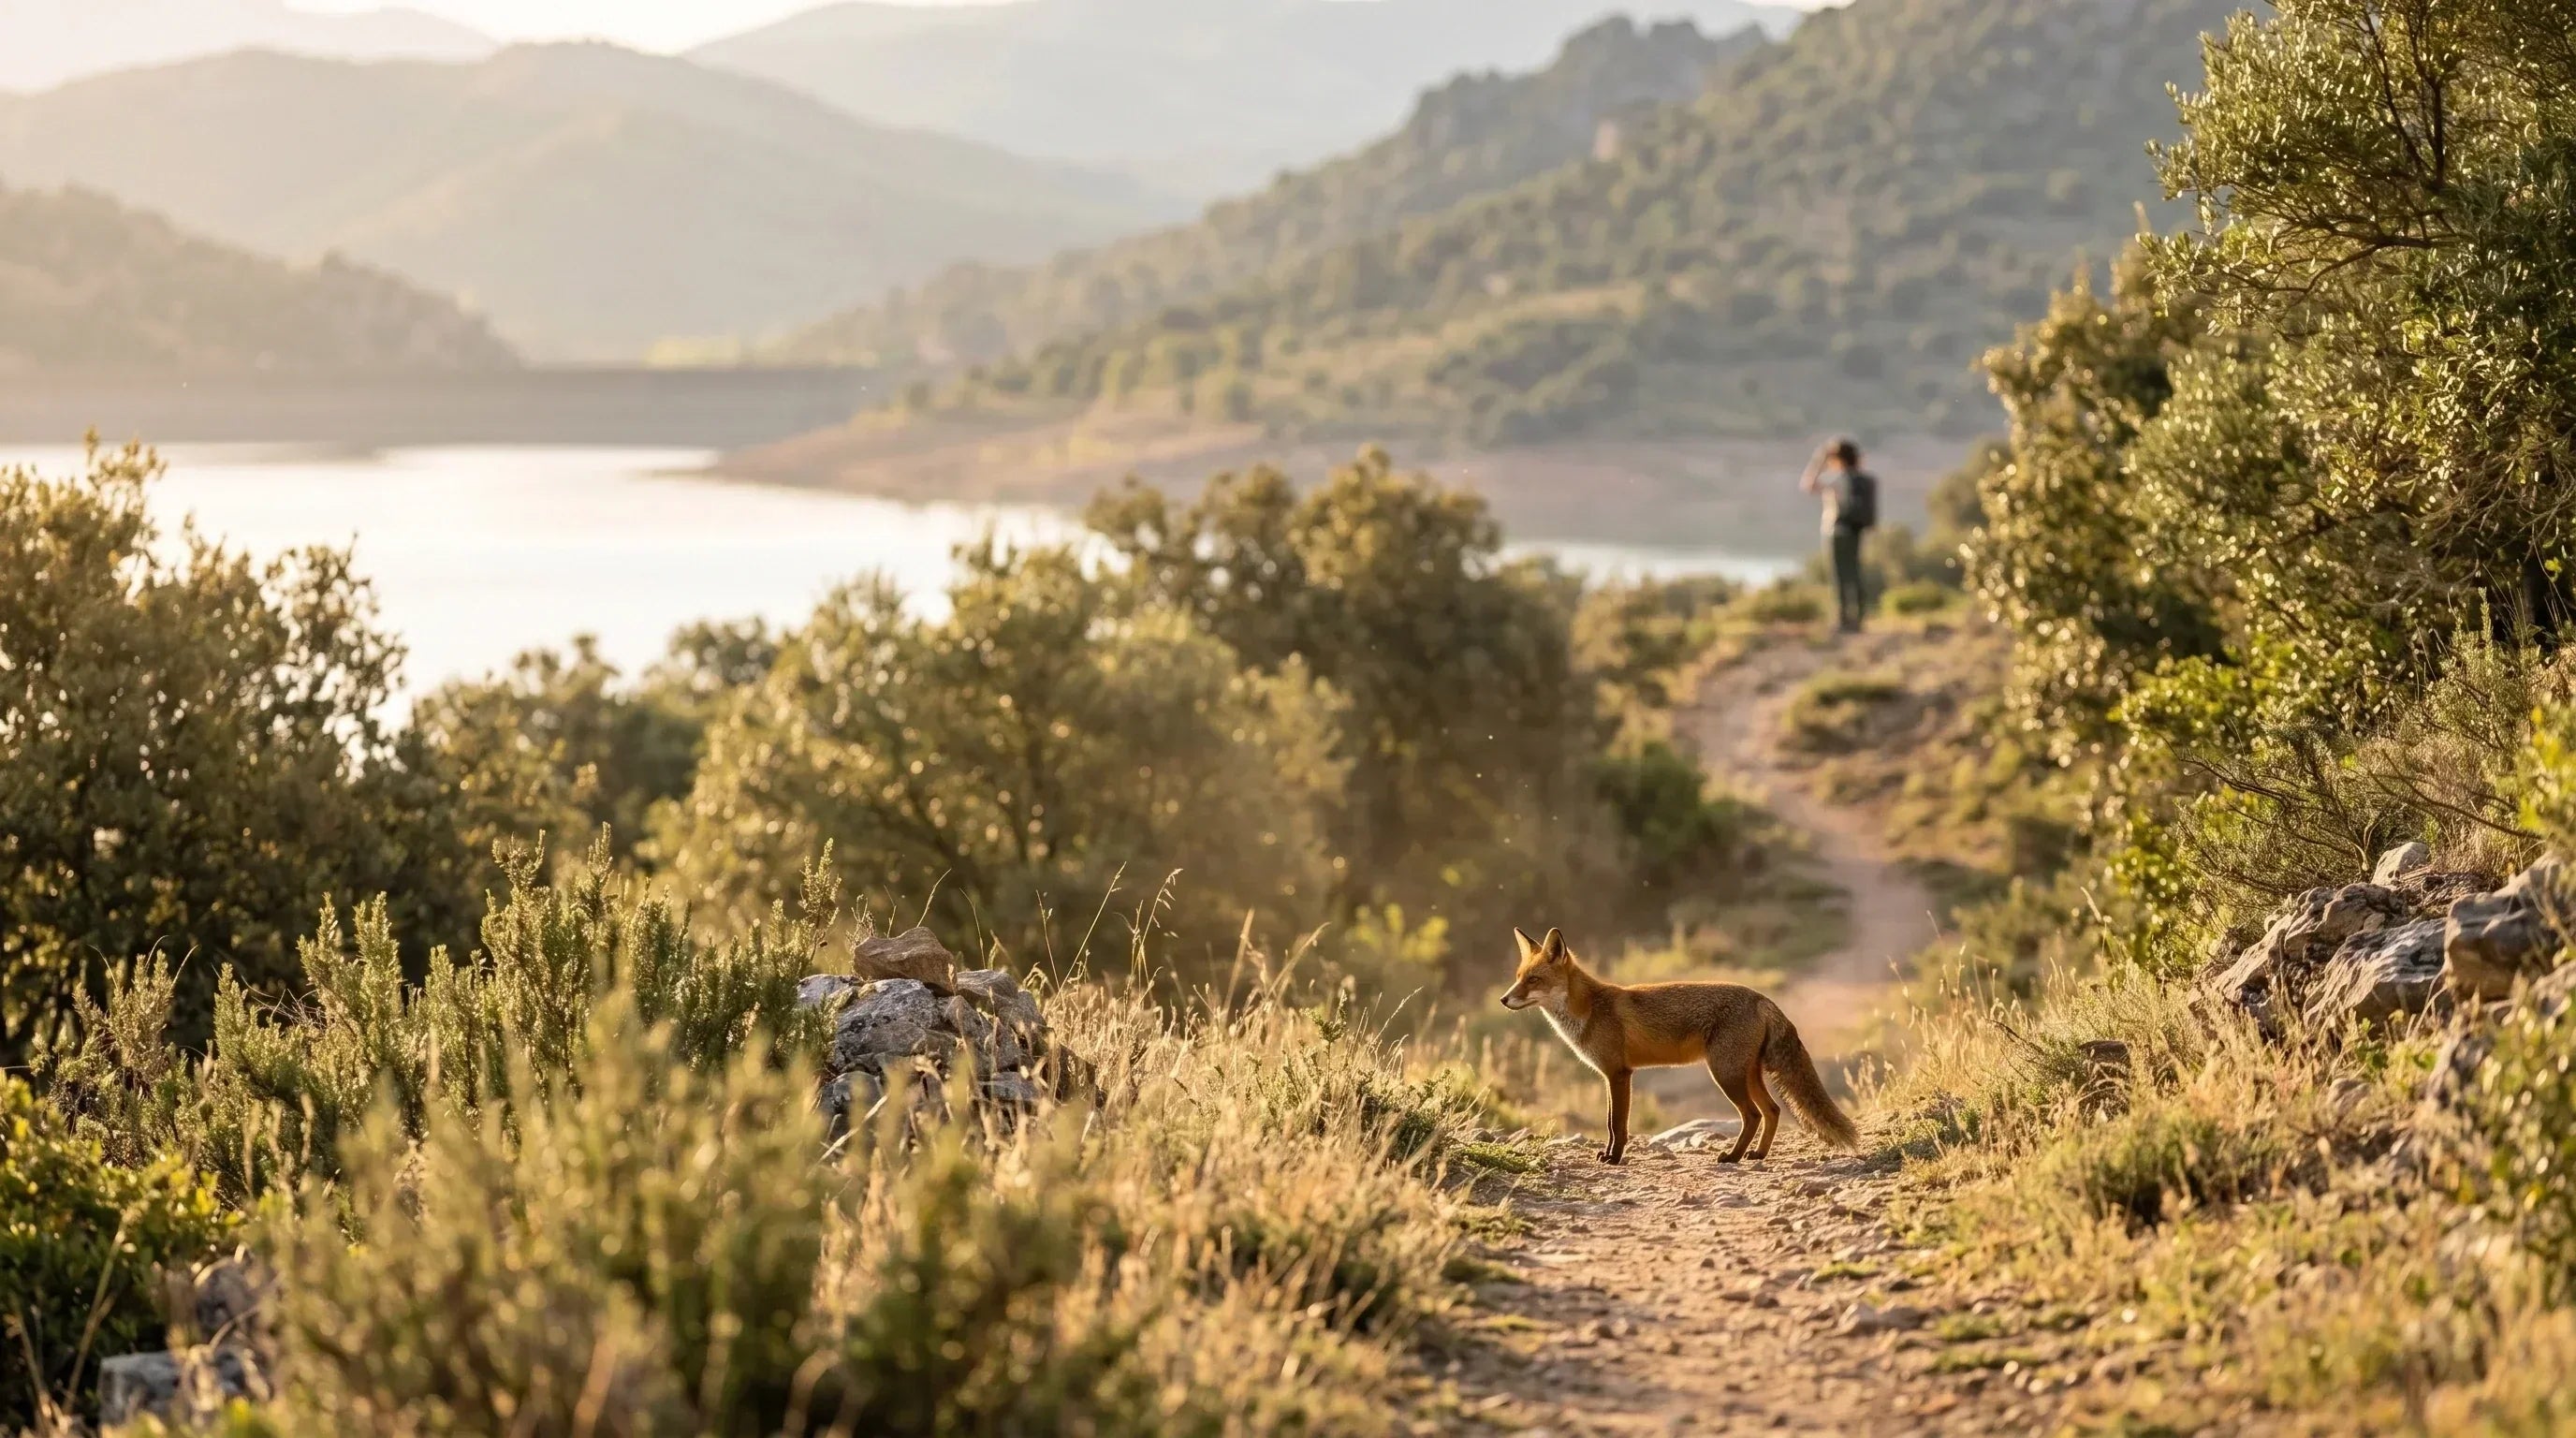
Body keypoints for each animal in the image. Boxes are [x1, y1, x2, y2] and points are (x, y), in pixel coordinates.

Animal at [1500, 926, 1860, 1165]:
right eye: (1517, 977)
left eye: (1533, 980)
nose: (1504, 999)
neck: (1588, 1010)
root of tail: (1761, 998)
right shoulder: (1609, 1075)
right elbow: (1610, 1122)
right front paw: (1608, 1155)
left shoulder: (1619, 1074)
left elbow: (1618, 1125)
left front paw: (1615, 1159)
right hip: (1746, 1073)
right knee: (1772, 1110)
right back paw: (1757, 1154)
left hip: (1725, 1074)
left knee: (1753, 1114)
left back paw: (1733, 1156)